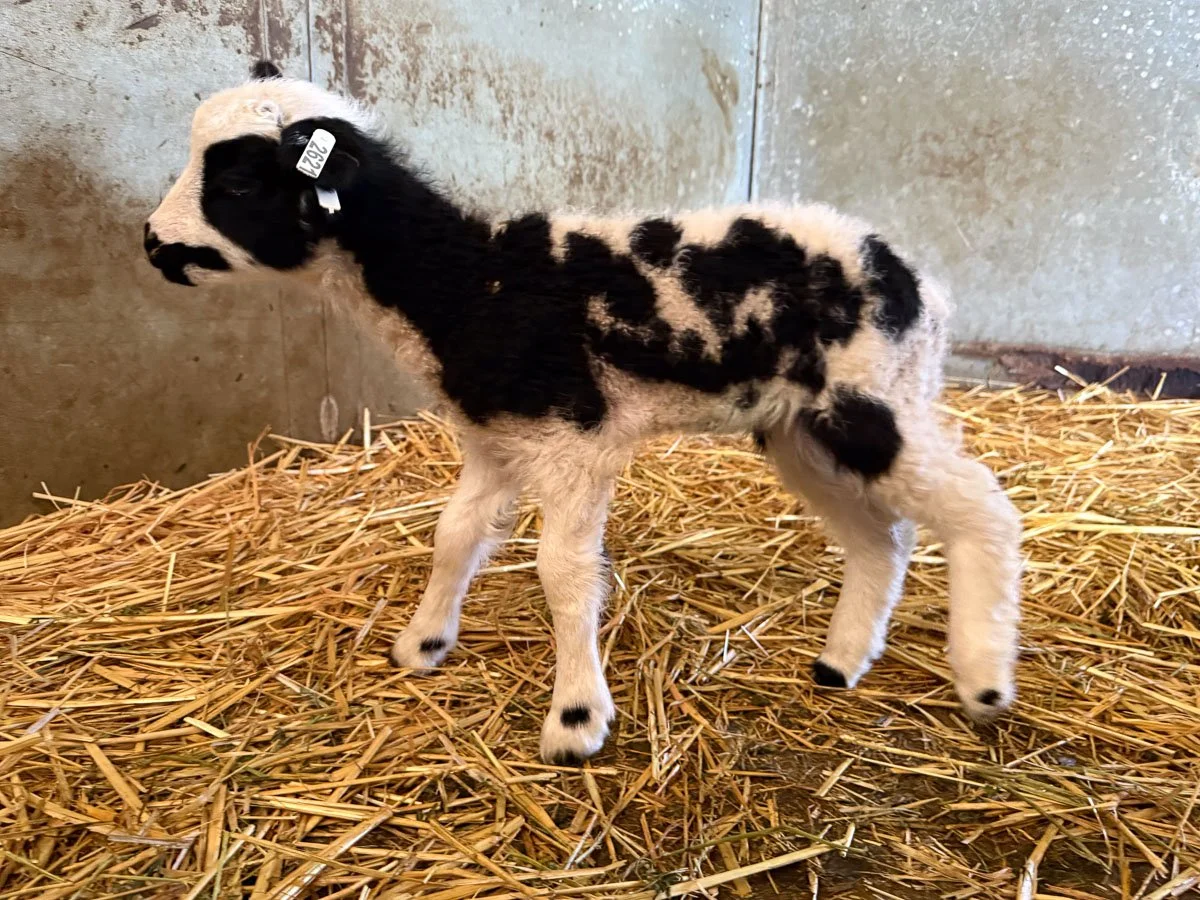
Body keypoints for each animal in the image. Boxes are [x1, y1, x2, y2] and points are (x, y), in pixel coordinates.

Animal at [145, 61, 1022, 764]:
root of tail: (917, 284)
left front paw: (575, 720)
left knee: (982, 507)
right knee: (883, 538)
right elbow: (455, 535)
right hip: (800, 428)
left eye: (236, 186)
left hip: (872, 396)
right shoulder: (494, 440)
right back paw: (841, 662)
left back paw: (983, 678)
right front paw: (424, 643)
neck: (466, 280)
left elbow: (562, 572)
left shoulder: (574, 442)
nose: (151, 244)